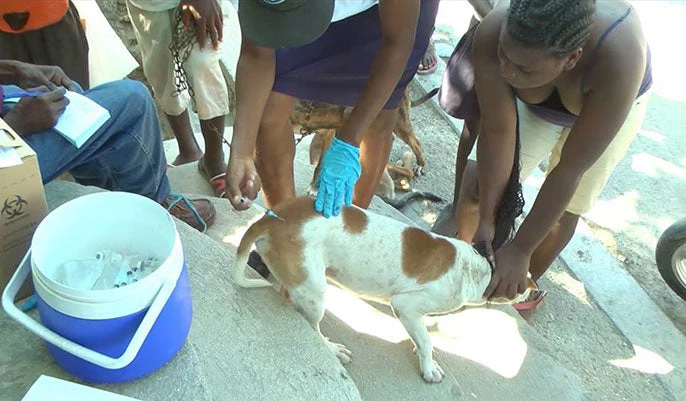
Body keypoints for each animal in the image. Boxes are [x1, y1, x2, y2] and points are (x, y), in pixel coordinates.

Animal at [232, 196, 536, 382]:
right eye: (524, 284)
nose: (535, 292)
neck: (474, 267)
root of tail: (272, 219)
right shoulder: (405, 306)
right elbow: (427, 341)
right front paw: (428, 367)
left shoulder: (416, 314)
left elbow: (422, 337)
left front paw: (419, 349)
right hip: (315, 293)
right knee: (312, 327)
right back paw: (331, 349)